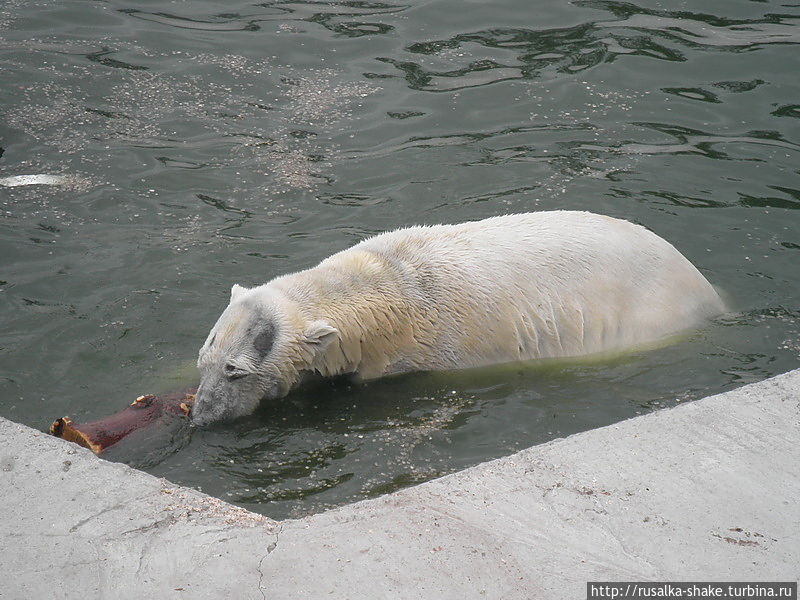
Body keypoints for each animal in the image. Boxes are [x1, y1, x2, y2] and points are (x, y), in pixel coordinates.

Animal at [192, 211, 724, 426]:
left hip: (651, 316)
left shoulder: (437, 353)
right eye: (205, 360)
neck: (390, 288)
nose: (201, 416)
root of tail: (710, 291)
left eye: (235, 371)